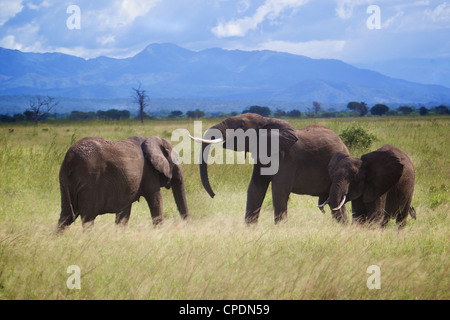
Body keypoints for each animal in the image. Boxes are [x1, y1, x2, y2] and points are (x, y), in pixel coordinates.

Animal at [57, 136, 189, 232]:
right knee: (88, 218)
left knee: (65, 216)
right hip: (89, 180)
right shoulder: (148, 173)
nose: (186, 226)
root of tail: (69, 158)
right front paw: (159, 233)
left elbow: (124, 211)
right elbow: (156, 201)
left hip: (64, 181)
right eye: (177, 161)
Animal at [192, 114, 350, 224]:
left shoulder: (286, 158)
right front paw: (250, 229)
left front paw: (281, 229)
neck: (266, 120)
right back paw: (344, 227)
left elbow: (279, 190)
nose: (213, 195)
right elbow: (255, 189)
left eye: (242, 124)